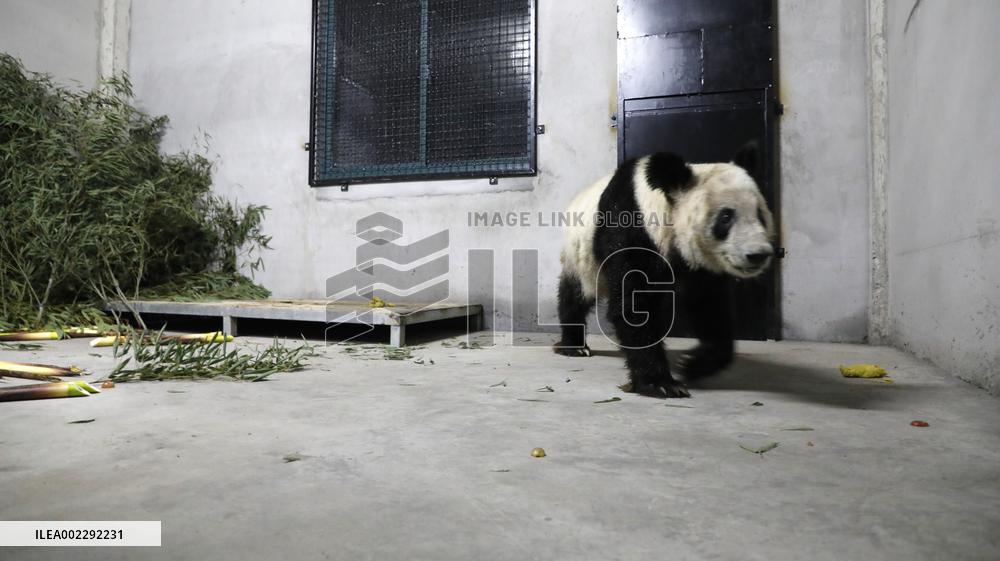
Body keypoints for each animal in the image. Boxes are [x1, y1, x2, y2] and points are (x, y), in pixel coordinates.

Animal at [554, 145, 775, 398]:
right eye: (726, 217)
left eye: (760, 214)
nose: (758, 254)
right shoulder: (630, 229)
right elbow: (634, 307)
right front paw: (660, 383)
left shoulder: (700, 264)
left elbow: (709, 304)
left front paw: (692, 364)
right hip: (582, 257)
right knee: (575, 294)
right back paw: (575, 346)